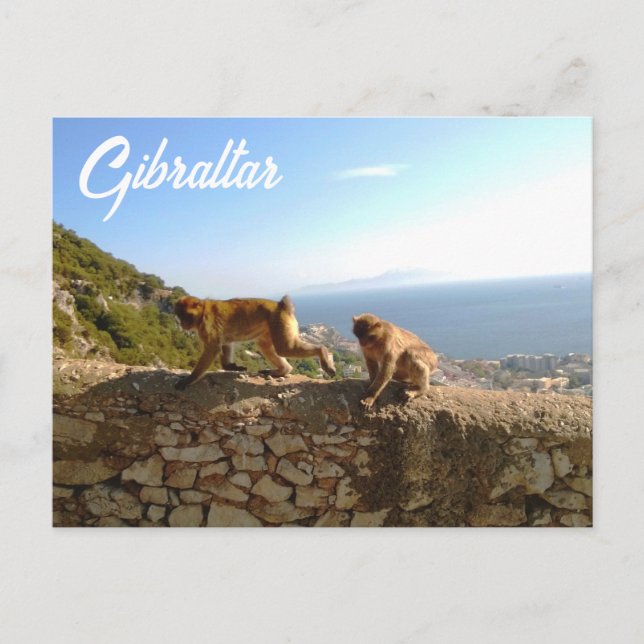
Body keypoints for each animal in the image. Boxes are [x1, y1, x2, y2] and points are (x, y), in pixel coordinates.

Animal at [174, 294, 335, 390]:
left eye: (186, 315)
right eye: (179, 316)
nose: (183, 324)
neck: (202, 314)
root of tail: (281, 305)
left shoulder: (208, 325)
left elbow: (212, 348)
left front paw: (190, 379)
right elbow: (225, 343)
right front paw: (230, 366)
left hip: (279, 321)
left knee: (284, 348)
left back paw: (322, 351)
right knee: (265, 346)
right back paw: (283, 370)